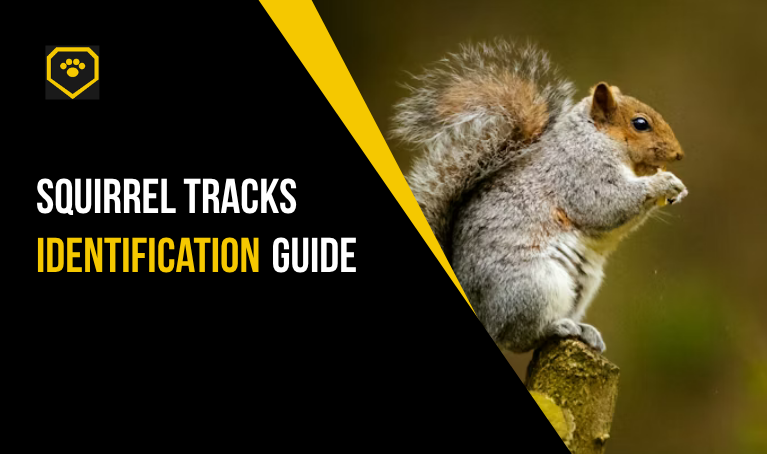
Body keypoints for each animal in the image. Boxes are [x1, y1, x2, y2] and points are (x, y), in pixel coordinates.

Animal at [392, 40, 688, 353]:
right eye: (640, 124)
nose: (679, 154)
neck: (594, 138)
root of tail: (478, 311)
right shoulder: (580, 174)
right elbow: (607, 204)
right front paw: (663, 182)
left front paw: (676, 189)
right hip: (535, 285)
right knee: (517, 337)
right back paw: (558, 327)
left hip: (581, 287)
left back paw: (585, 331)